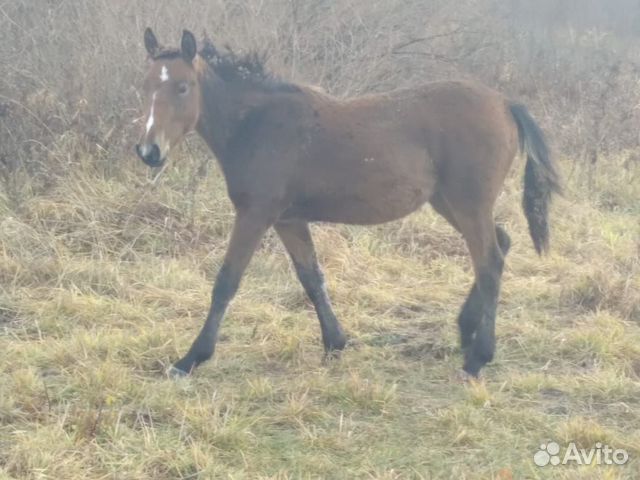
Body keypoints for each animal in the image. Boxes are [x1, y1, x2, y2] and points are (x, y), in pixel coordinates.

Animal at [135, 29, 560, 378]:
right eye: (146, 85)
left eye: (184, 87)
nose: (149, 152)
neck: (257, 125)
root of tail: (504, 102)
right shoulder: (288, 219)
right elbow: (311, 277)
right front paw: (335, 343)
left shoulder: (256, 214)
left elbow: (227, 281)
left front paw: (190, 359)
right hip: (449, 203)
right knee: (501, 242)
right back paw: (465, 331)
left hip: (468, 203)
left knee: (490, 262)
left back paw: (477, 358)